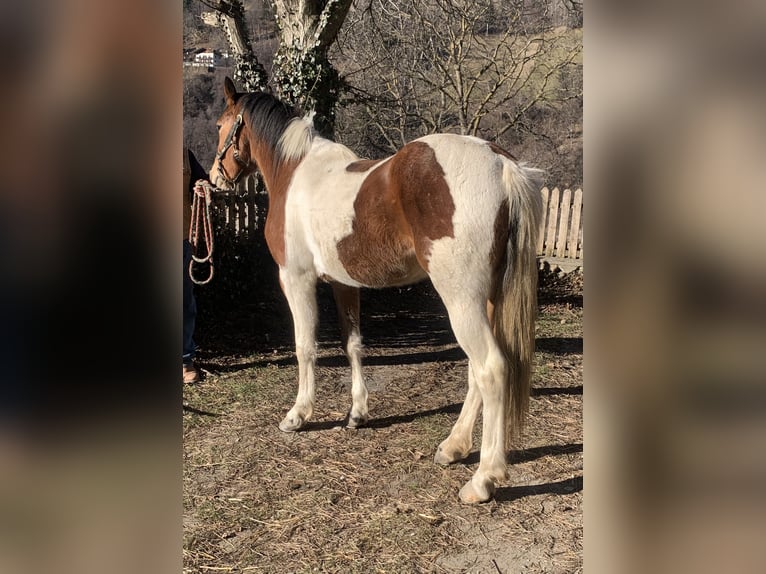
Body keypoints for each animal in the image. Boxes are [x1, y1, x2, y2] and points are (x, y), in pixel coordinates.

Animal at [211, 77, 543, 503]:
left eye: (222, 125)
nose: (216, 178)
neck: (296, 172)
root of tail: (502, 165)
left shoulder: (296, 278)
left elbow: (305, 347)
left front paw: (298, 415)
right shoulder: (343, 284)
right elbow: (353, 344)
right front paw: (357, 413)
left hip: (461, 299)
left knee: (491, 369)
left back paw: (483, 479)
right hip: (484, 299)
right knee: (476, 371)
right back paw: (453, 447)